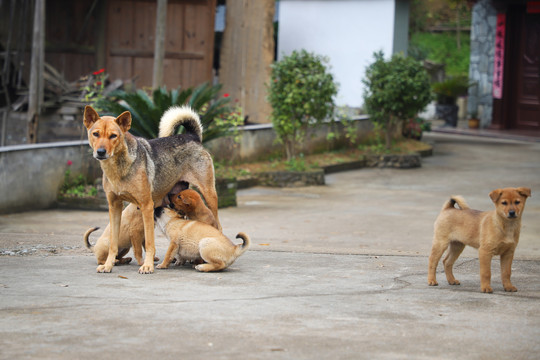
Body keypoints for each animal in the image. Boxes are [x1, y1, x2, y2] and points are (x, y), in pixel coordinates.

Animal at [81, 105, 219, 274]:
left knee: (219, 226)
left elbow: (148, 243)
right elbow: (113, 243)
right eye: (95, 134)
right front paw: (108, 265)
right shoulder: (114, 207)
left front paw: (147, 265)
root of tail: (192, 137)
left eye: (113, 136)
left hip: (209, 195)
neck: (119, 167)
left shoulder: (146, 206)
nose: (100, 152)